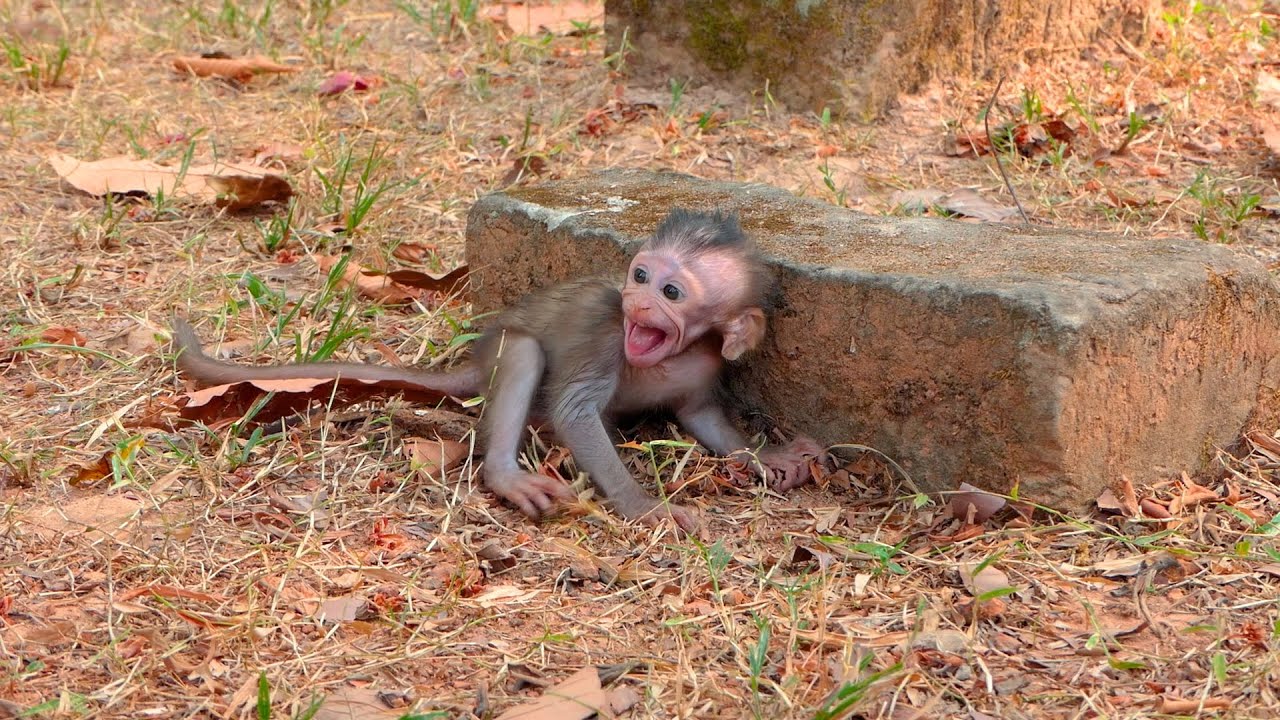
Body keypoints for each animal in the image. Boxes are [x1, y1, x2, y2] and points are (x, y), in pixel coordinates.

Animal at [173, 209, 821, 531]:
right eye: (639, 276)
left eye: (670, 290)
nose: (637, 304)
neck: (673, 352)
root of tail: (474, 365)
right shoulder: (602, 330)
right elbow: (575, 411)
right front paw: (646, 507)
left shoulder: (705, 364)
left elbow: (703, 415)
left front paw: (768, 456)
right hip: (510, 357)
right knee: (527, 354)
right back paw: (507, 477)